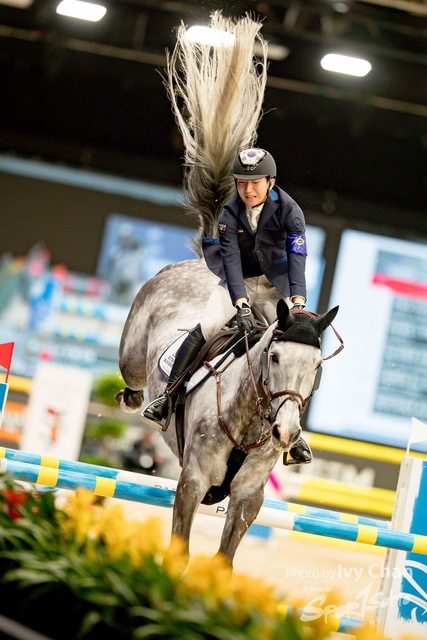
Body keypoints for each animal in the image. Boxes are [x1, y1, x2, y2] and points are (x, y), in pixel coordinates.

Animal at [115, 12, 340, 566]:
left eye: (317, 367)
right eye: (274, 358)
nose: (287, 432)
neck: (251, 422)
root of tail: (194, 265)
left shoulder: (247, 499)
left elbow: (224, 562)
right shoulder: (192, 483)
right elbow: (180, 552)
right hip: (136, 352)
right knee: (132, 375)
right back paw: (138, 401)